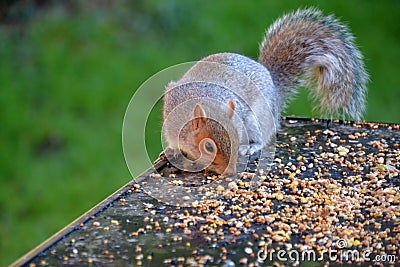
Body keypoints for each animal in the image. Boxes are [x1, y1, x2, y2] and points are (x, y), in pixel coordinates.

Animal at [161, 7, 368, 176]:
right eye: (208, 147)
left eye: (237, 138)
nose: (231, 172)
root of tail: (272, 84)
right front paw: (172, 151)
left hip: (257, 118)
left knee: (264, 136)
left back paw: (252, 147)